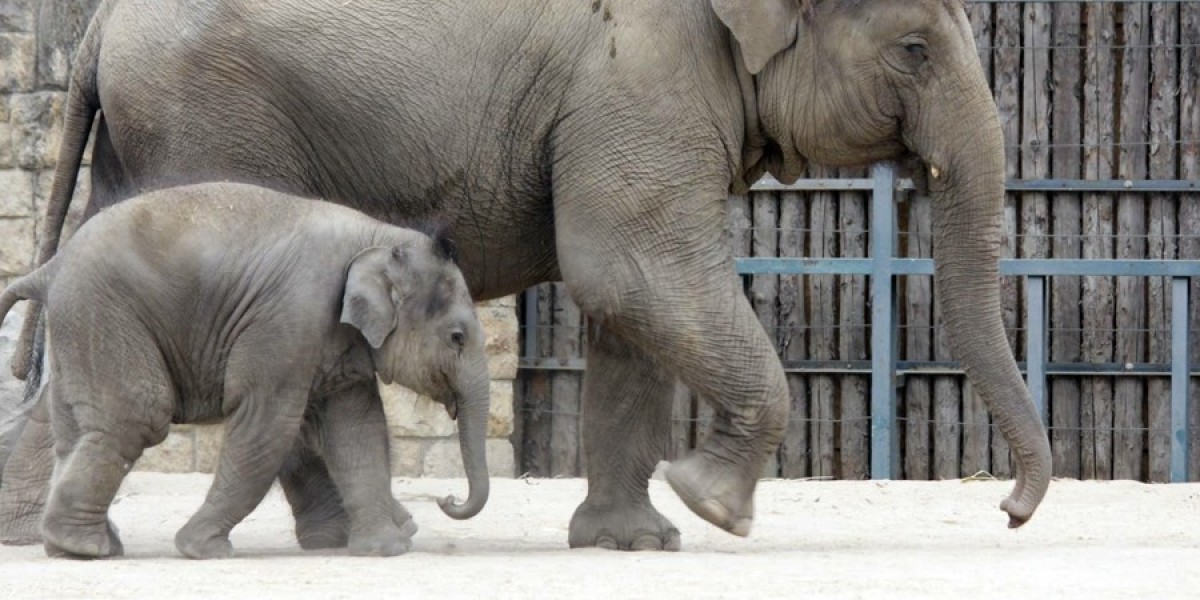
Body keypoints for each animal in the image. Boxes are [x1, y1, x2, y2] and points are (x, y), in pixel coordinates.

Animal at [0, 181, 492, 556]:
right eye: (457, 337)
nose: (446, 498)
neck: (378, 234)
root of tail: (49, 268)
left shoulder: (337, 339)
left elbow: (357, 428)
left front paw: (385, 549)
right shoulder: (288, 319)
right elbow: (266, 424)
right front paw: (200, 549)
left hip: (80, 324)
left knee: (73, 429)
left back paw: (76, 546)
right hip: (104, 313)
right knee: (136, 417)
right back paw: (87, 548)